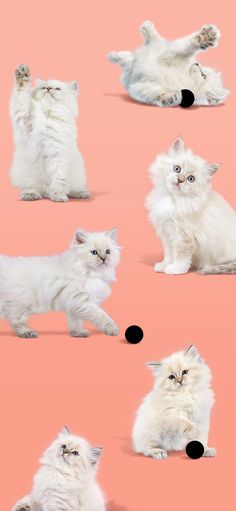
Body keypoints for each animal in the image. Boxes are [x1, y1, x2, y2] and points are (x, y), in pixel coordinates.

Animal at [9, 66, 90, 204]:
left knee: (71, 188)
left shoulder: (58, 154)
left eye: (57, 88)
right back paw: (30, 195)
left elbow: (59, 180)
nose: (48, 89)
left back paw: (80, 193)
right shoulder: (24, 118)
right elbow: (21, 92)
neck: (47, 113)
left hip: (78, 175)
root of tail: (45, 192)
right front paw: (23, 75)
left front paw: (59, 197)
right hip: (27, 174)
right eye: (43, 87)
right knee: (33, 187)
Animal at [146, 136, 236, 274]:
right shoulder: (167, 235)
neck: (173, 200)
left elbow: (181, 257)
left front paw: (175, 269)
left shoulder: (184, 237)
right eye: (177, 169)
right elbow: (169, 255)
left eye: (191, 179)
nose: (180, 180)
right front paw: (164, 266)